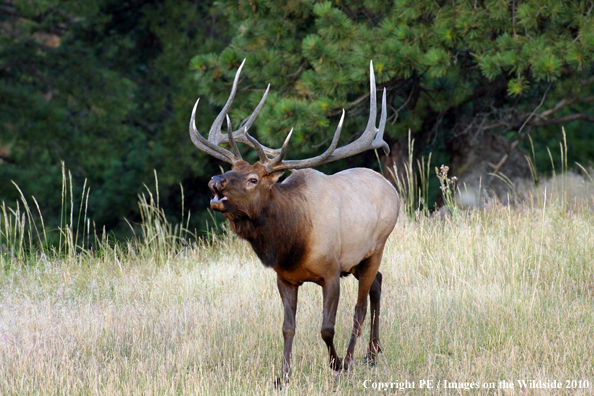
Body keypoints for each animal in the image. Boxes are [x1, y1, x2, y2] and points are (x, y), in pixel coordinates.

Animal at [188, 60, 398, 386]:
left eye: (252, 179)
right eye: (232, 167)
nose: (215, 180)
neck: (293, 244)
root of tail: (392, 189)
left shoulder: (331, 271)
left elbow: (326, 328)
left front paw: (336, 364)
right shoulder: (284, 277)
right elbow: (288, 327)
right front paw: (283, 376)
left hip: (377, 247)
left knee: (361, 306)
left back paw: (353, 358)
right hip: (358, 261)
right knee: (377, 282)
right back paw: (373, 353)